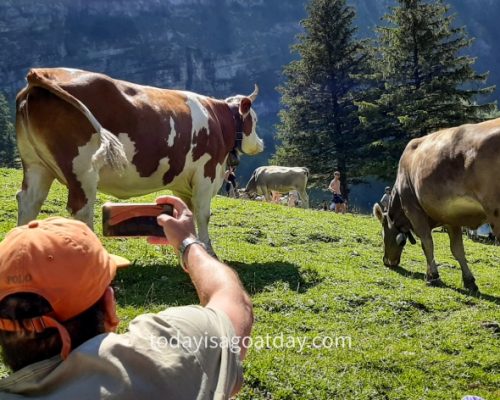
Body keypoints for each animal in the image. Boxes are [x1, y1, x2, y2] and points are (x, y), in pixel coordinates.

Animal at [15, 68, 266, 253]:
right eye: (254, 119)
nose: (261, 143)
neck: (220, 121)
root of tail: (42, 73)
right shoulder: (207, 172)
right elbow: (203, 214)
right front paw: (208, 250)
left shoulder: (184, 181)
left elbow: (188, 211)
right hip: (82, 168)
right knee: (81, 208)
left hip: (36, 164)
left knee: (29, 200)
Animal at [376, 117, 500, 292]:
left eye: (382, 234)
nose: (387, 261)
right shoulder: (451, 217)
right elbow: (457, 250)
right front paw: (469, 281)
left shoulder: (414, 211)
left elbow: (427, 242)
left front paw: (432, 276)